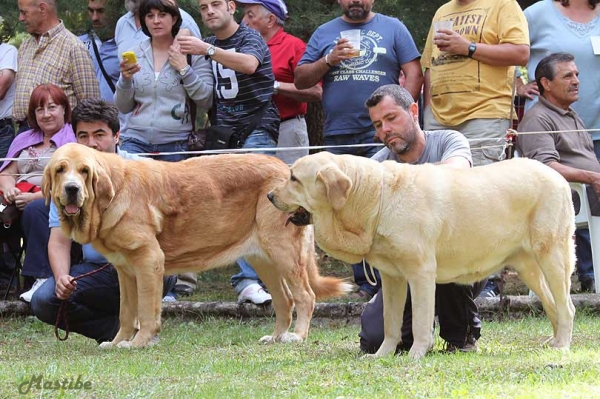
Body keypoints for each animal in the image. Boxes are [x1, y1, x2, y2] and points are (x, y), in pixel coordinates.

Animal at [43, 145, 352, 350]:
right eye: (61, 170)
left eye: (84, 171)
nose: (72, 189)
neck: (112, 194)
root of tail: (287, 170)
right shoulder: (125, 270)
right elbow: (127, 313)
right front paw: (118, 341)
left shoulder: (148, 261)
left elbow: (146, 311)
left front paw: (139, 342)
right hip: (265, 259)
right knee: (285, 301)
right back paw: (275, 338)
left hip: (284, 253)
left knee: (305, 297)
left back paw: (297, 337)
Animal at [268, 152, 576, 360]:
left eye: (294, 178)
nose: (270, 195)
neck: (375, 199)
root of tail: (558, 177)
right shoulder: (393, 278)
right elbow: (390, 323)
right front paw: (382, 355)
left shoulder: (421, 273)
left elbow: (419, 322)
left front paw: (416, 354)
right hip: (529, 267)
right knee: (552, 304)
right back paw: (553, 341)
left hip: (552, 256)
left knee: (566, 306)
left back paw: (562, 345)